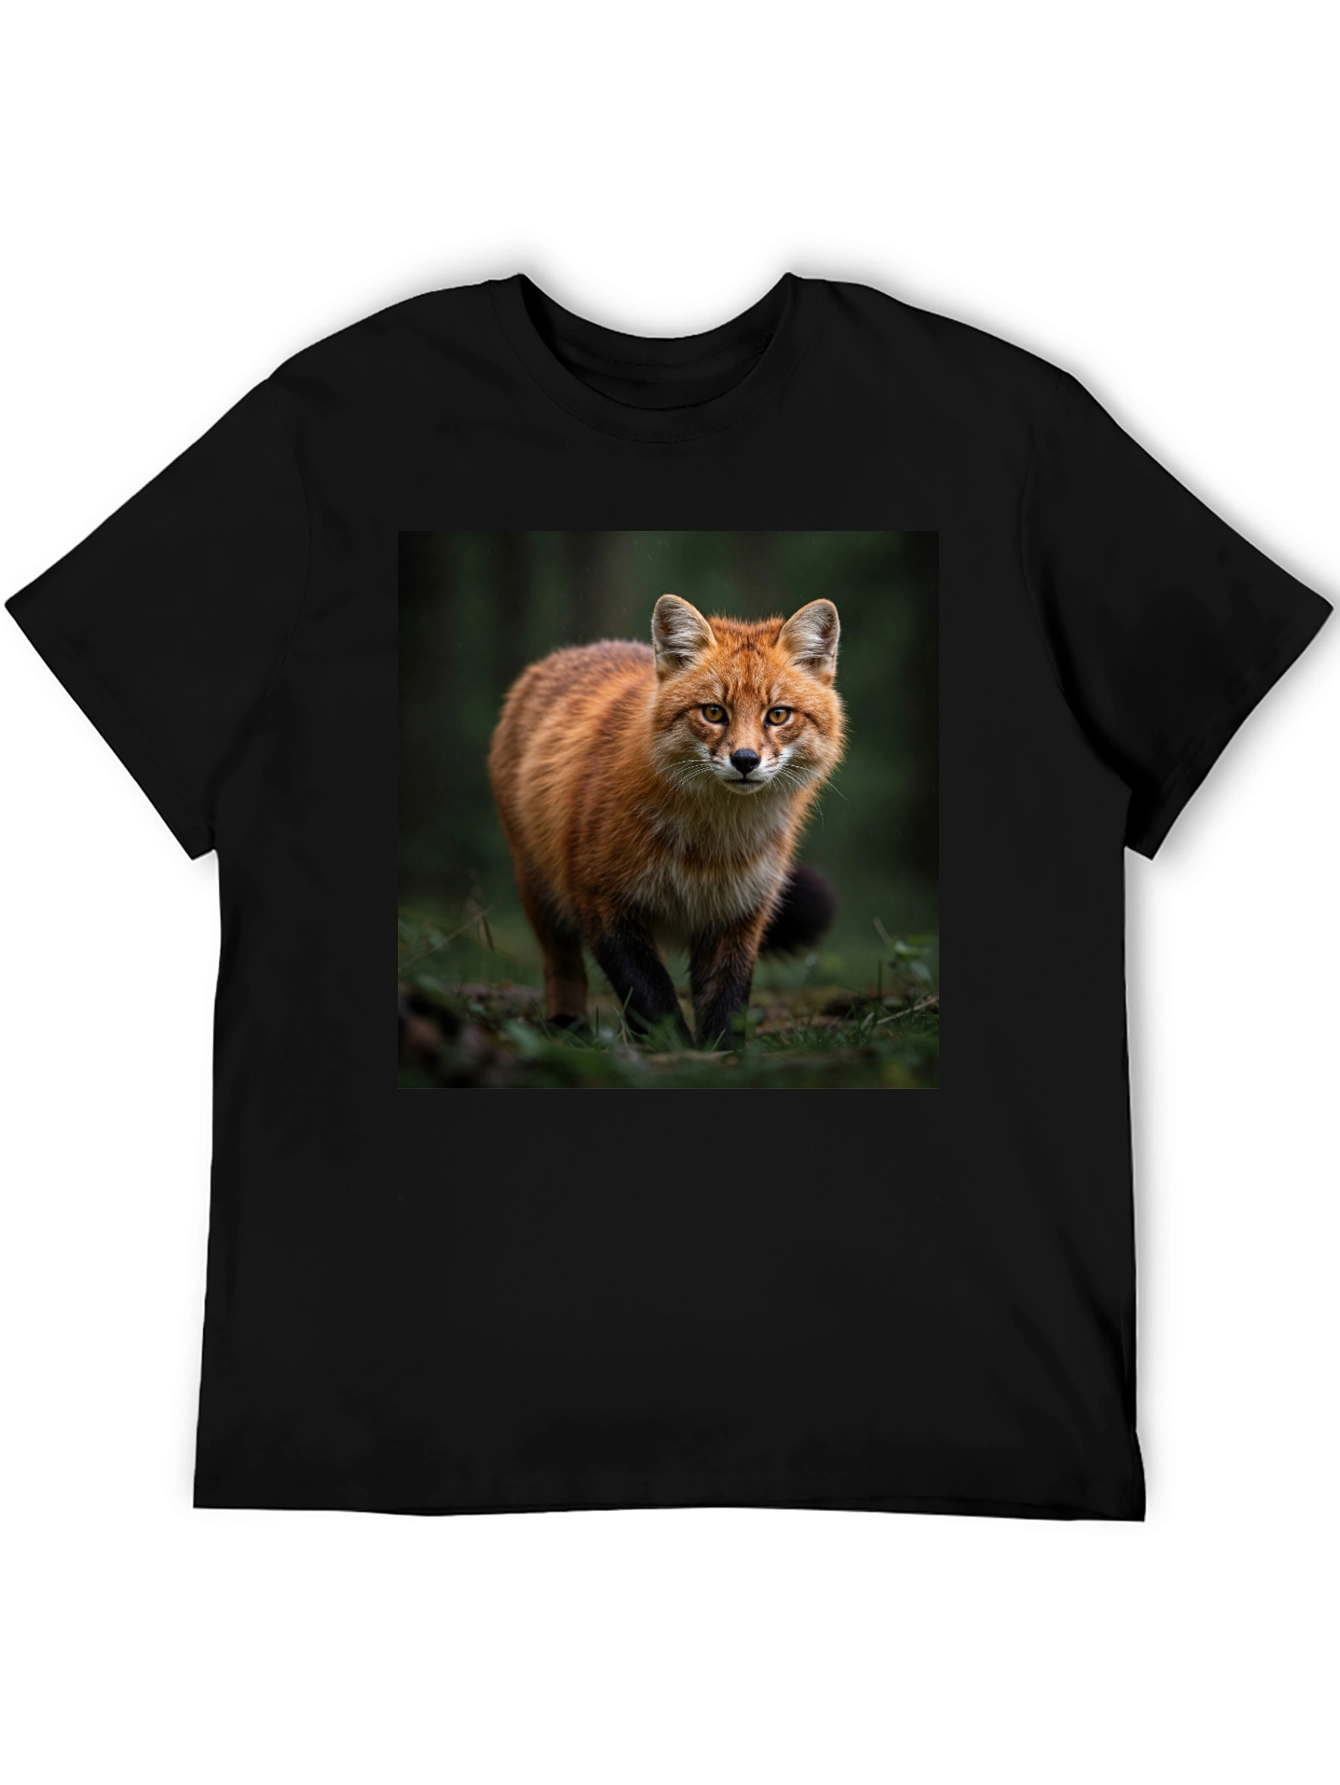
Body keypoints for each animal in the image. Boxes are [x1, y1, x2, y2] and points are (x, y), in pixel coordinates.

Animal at [487, 593, 845, 1048]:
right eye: (714, 712)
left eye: (778, 715)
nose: (745, 760)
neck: (708, 851)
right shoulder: (601, 901)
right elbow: (651, 996)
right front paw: (675, 1051)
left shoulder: (740, 911)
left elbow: (726, 1000)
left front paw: (721, 1054)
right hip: (540, 891)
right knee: (562, 967)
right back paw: (568, 1026)